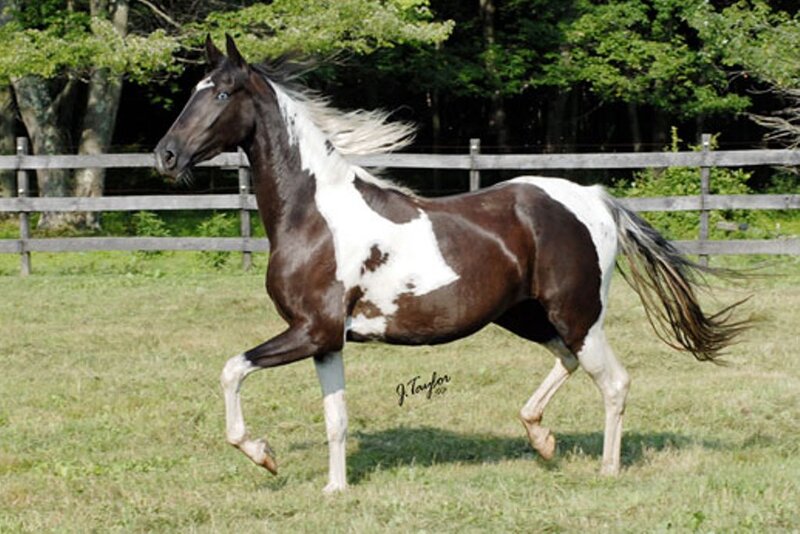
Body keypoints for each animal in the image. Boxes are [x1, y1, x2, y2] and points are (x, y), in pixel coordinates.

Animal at [155, 35, 747, 493]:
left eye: (222, 93)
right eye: (193, 93)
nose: (165, 155)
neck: (315, 215)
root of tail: (596, 199)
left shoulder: (309, 330)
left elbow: (232, 369)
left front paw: (263, 454)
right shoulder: (326, 339)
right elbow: (336, 419)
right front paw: (335, 489)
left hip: (577, 314)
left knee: (614, 381)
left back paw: (605, 469)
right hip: (525, 315)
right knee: (570, 362)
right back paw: (541, 438)